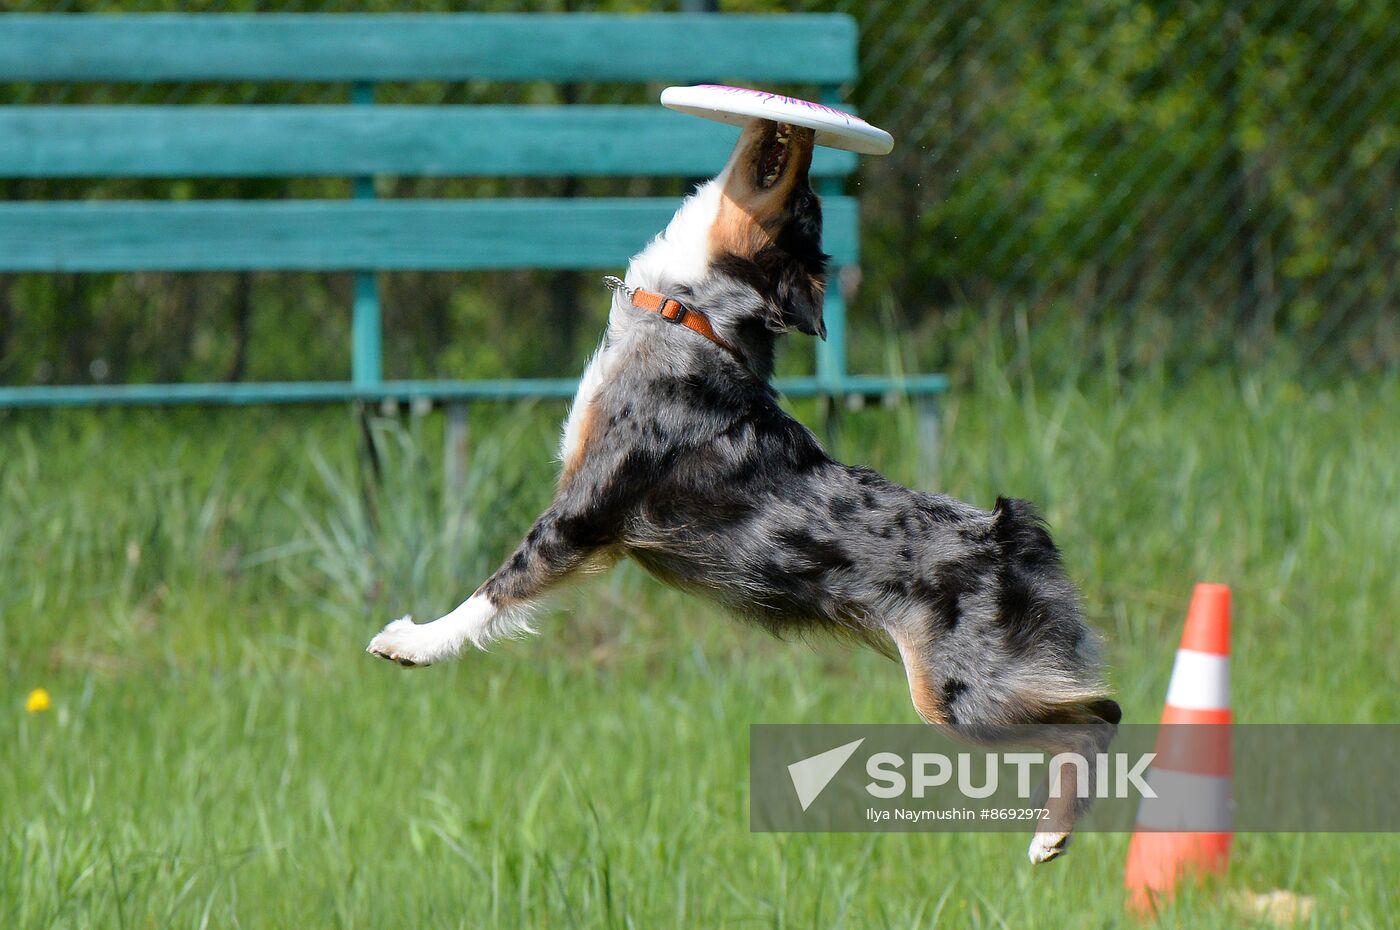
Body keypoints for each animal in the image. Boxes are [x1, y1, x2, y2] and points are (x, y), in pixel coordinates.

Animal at [366, 118, 1120, 862]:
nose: (804, 127)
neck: (686, 314)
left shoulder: (583, 511)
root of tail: (1006, 532)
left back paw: (1051, 834)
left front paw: (412, 642)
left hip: (960, 696)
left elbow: (495, 590)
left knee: (1100, 715)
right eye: (812, 202)